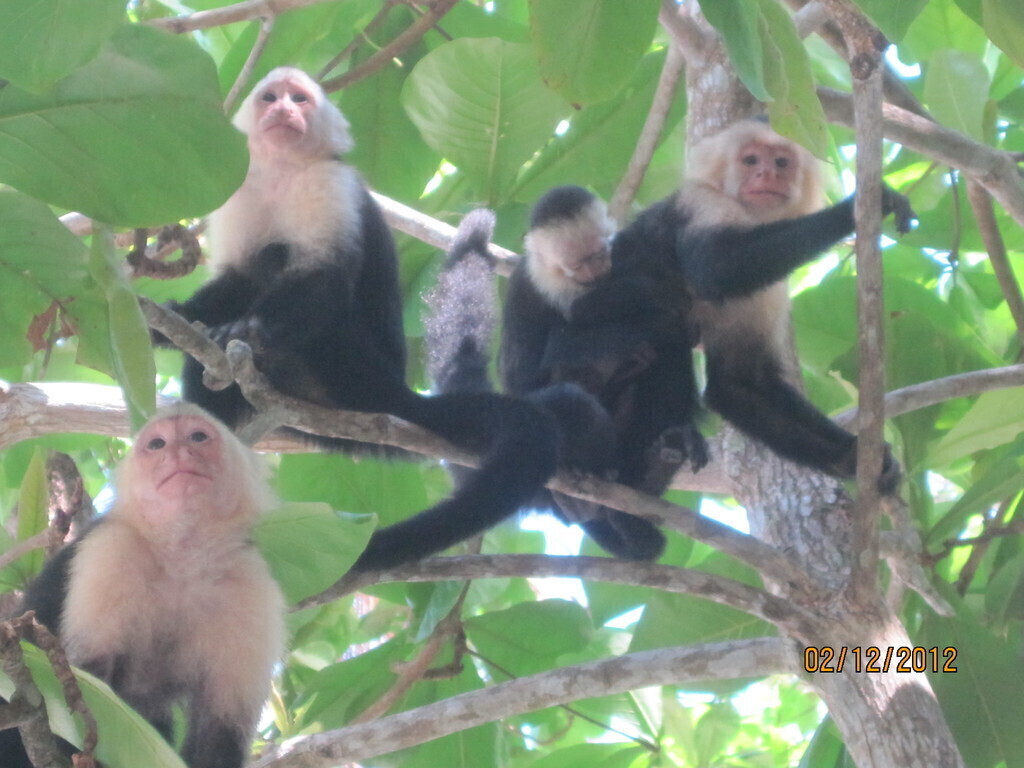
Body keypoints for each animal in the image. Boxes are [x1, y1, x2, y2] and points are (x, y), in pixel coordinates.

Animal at [0, 404, 285, 768]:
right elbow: (87, 683)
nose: (178, 453)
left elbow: (220, 731)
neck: (182, 560)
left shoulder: (252, 586)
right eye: (158, 444)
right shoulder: (111, 550)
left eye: (197, 437)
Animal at [163, 67, 559, 571]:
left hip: (354, 373)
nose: (283, 110)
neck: (283, 173)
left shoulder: (332, 184)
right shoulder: (241, 193)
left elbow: (324, 276)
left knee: (293, 275)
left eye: (299, 99)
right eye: (270, 98)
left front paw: (248, 331)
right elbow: (236, 279)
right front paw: (174, 319)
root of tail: (394, 392)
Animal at [498, 186, 709, 560]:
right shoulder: (527, 289)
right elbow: (524, 380)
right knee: (564, 398)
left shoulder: (627, 253)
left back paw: (659, 461)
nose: (597, 274)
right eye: (577, 265)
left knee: (667, 355)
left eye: (600, 254)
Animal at [612, 119, 915, 490]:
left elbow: (739, 382)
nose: (767, 174)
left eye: (781, 163)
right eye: (751, 160)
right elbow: (717, 267)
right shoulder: (703, 202)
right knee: (659, 325)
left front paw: (849, 455)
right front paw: (851, 211)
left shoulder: (768, 294)